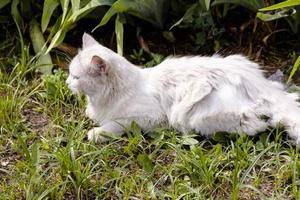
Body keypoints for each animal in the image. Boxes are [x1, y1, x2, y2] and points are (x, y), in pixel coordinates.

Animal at [66, 34, 300, 144]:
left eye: (76, 77)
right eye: (69, 73)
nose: (67, 83)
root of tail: (258, 82)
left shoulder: (150, 118)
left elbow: (117, 124)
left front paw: (97, 133)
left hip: (199, 117)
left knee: (258, 126)